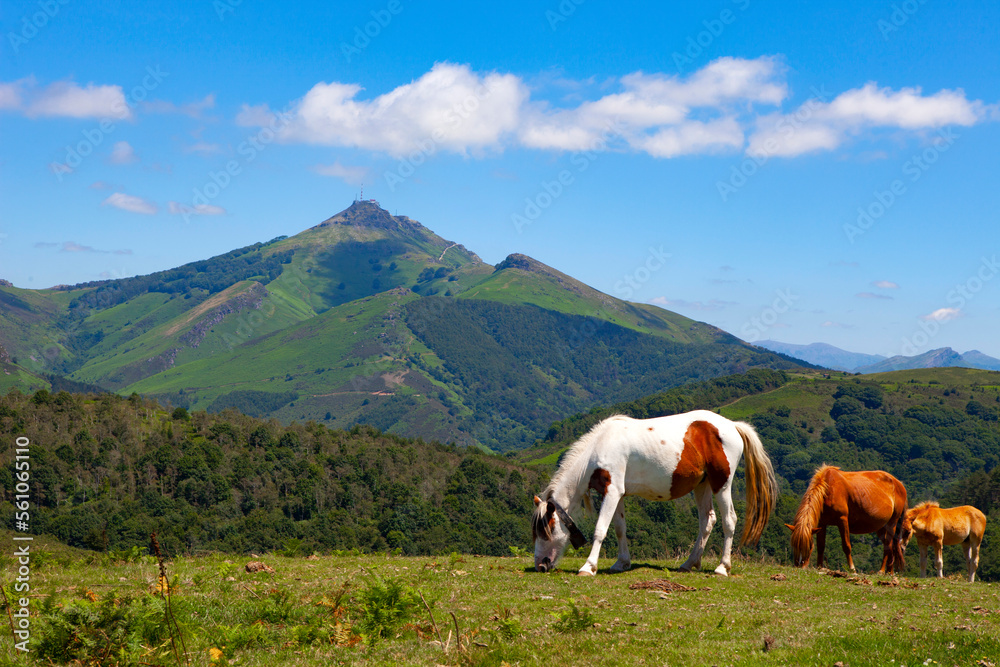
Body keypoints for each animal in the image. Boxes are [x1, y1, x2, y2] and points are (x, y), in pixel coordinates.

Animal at [530, 410, 777, 577]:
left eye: (548, 528)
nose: (540, 565)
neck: (600, 446)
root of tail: (732, 426)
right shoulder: (617, 494)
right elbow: (619, 529)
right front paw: (622, 563)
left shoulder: (612, 491)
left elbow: (601, 529)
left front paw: (589, 567)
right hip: (702, 485)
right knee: (708, 520)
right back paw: (690, 563)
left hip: (721, 484)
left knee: (729, 520)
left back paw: (722, 567)